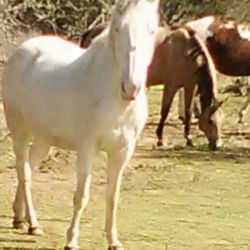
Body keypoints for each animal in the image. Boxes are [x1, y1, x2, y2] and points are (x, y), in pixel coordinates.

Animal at [0, 0, 158, 250]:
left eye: (152, 31)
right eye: (117, 29)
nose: (131, 88)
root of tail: (24, 48)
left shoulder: (122, 152)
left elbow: (113, 197)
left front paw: (114, 241)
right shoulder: (87, 148)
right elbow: (81, 196)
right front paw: (71, 240)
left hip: (44, 139)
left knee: (29, 169)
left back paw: (20, 218)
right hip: (19, 131)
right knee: (24, 173)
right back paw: (33, 224)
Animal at [81, 24, 224, 149]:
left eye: (220, 120)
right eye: (211, 121)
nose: (217, 144)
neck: (187, 51)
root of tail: (91, 31)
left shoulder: (190, 86)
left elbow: (188, 112)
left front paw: (188, 139)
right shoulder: (171, 86)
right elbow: (165, 111)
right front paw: (160, 139)